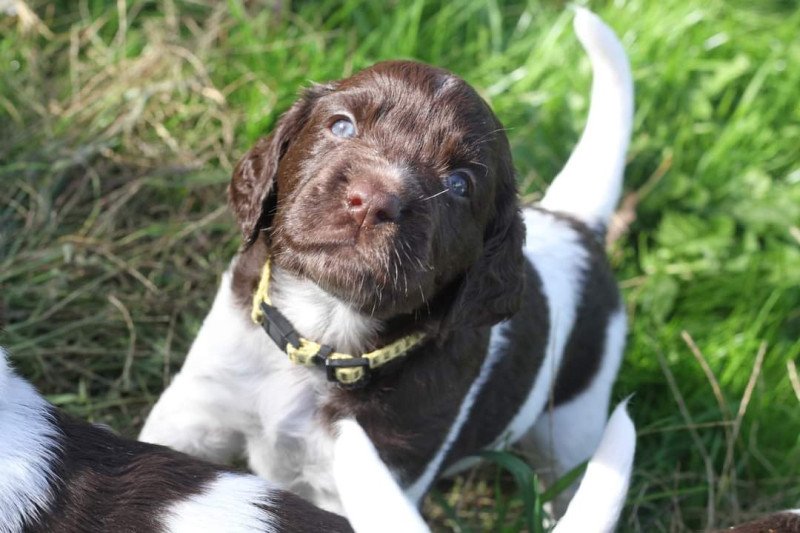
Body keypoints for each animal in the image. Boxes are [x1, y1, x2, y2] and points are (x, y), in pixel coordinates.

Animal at [141, 7, 636, 528]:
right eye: (341, 126)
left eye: (460, 184)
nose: (373, 199)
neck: (325, 334)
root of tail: (573, 220)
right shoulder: (196, 412)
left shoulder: (369, 479)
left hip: (577, 418)